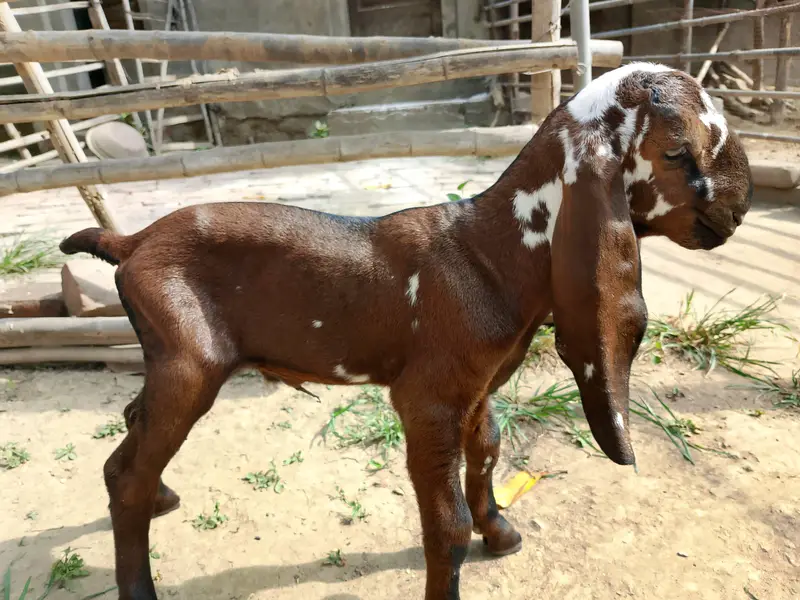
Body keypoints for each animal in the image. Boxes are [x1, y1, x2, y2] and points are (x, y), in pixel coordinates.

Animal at [60, 62, 752, 600]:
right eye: (676, 150)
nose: (740, 207)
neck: (491, 250)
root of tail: (131, 241)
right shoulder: (428, 400)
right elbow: (444, 526)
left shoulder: (477, 387)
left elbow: (489, 450)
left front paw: (500, 532)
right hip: (190, 363)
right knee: (127, 472)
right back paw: (139, 575)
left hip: (167, 359)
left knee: (130, 432)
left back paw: (161, 497)